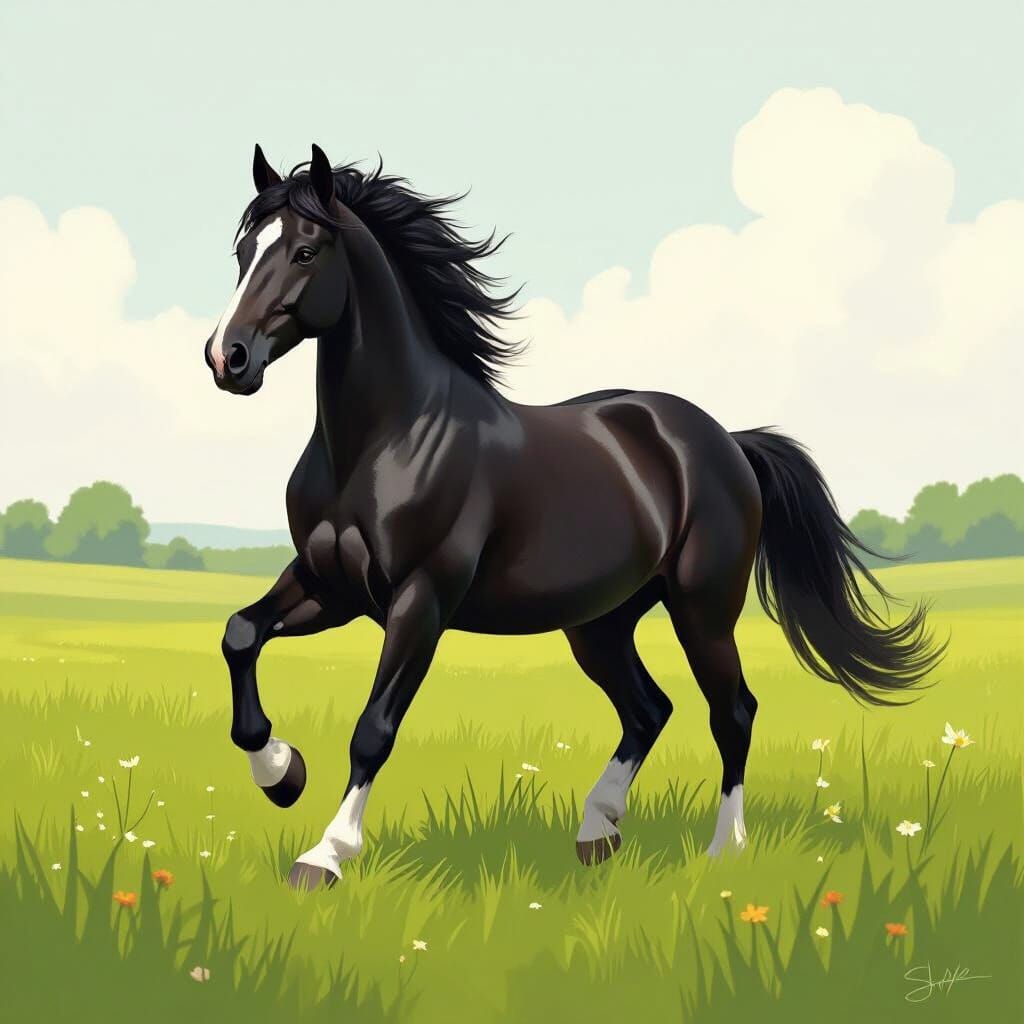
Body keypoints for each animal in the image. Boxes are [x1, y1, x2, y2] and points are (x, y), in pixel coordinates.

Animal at [204, 143, 942, 889]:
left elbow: (374, 728)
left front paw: (323, 854)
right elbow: (240, 636)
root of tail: (726, 440)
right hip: (599, 622)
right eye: (243, 250)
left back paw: (721, 851)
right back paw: (597, 830)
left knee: (731, 711)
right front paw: (281, 773)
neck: (385, 442)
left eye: (305, 251)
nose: (226, 358)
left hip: (702, 609)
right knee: (649, 709)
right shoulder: (331, 586)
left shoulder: (421, 599)